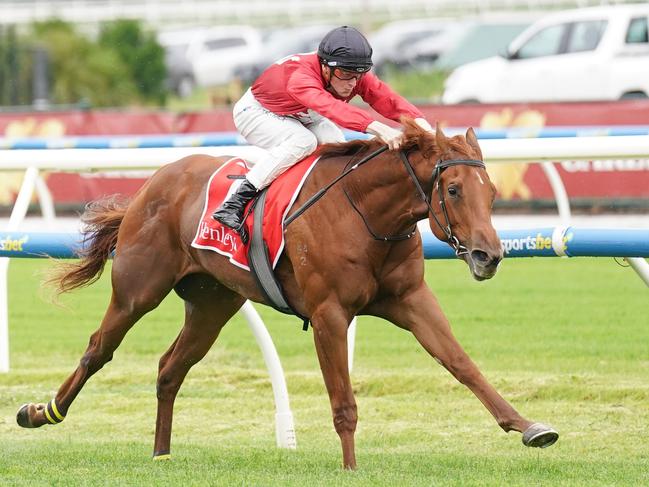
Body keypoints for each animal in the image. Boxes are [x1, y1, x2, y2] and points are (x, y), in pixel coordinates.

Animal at [19, 121, 556, 468]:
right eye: (454, 190)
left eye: (492, 192)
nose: (489, 255)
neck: (366, 212)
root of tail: (153, 182)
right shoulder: (329, 314)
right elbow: (343, 400)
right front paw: (350, 468)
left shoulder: (411, 300)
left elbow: (462, 364)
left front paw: (529, 426)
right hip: (137, 290)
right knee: (99, 348)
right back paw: (42, 412)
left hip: (213, 303)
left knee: (170, 367)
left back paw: (161, 453)